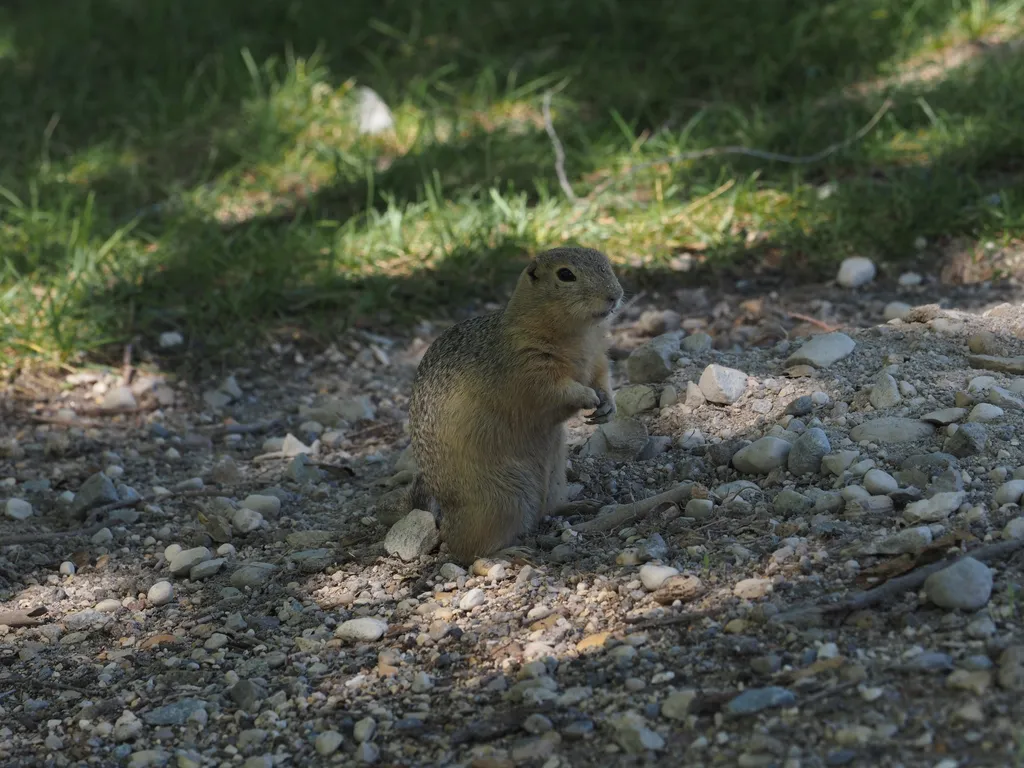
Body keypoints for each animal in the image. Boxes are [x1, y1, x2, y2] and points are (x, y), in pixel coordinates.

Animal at [407, 246, 622, 565]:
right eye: (566, 274)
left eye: (606, 263)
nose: (615, 295)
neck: (578, 334)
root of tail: (444, 518)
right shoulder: (528, 366)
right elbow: (556, 390)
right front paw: (587, 396)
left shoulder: (597, 357)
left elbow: (602, 377)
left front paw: (607, 404)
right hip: (501, 501)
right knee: (464, 551)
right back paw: (509, 552)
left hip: (555, 478)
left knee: (546, 510)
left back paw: (578, 505)